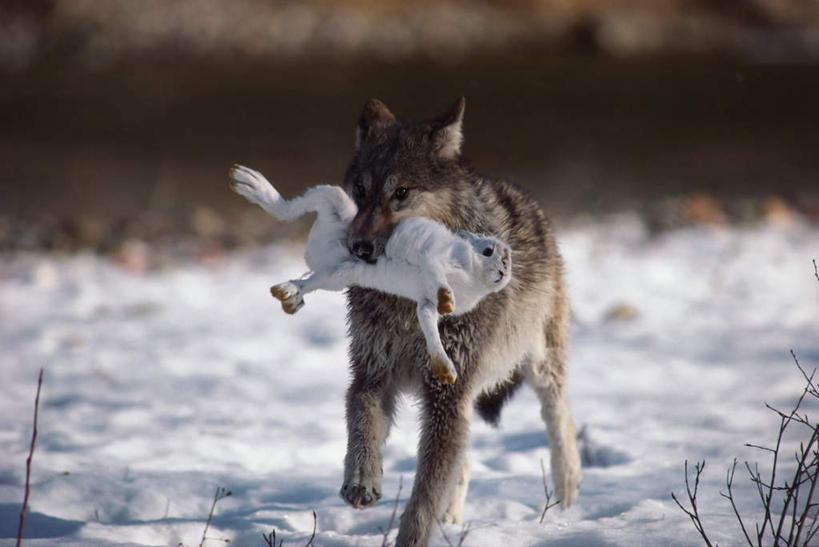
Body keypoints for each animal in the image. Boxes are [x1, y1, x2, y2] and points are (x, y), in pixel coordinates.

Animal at [231, 165, 510, 384]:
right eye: (488, 251)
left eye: (508, 257)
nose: (504, 269)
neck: (471, 274)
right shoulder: (434, 257)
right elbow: (435, 272)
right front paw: (446, 298)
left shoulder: (424, 303)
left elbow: (429, 325)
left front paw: (445, 372)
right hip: (333, 202)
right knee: (291, 208)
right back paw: (249, 183)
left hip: (337, 275)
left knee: (309, 280)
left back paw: (288, 296)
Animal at [338, 96, 584, 544]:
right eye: (360, 191)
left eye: (401, 193)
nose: (358, 247)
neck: (407, 304)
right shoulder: (373, 372)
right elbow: (361, 418)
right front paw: (362, 481)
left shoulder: (446, 397)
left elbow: (423, 497)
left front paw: (411, 539)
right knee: (464, 460)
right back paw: (452, 521)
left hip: (539, 366)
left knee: (559, 418)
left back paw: (567, 498)